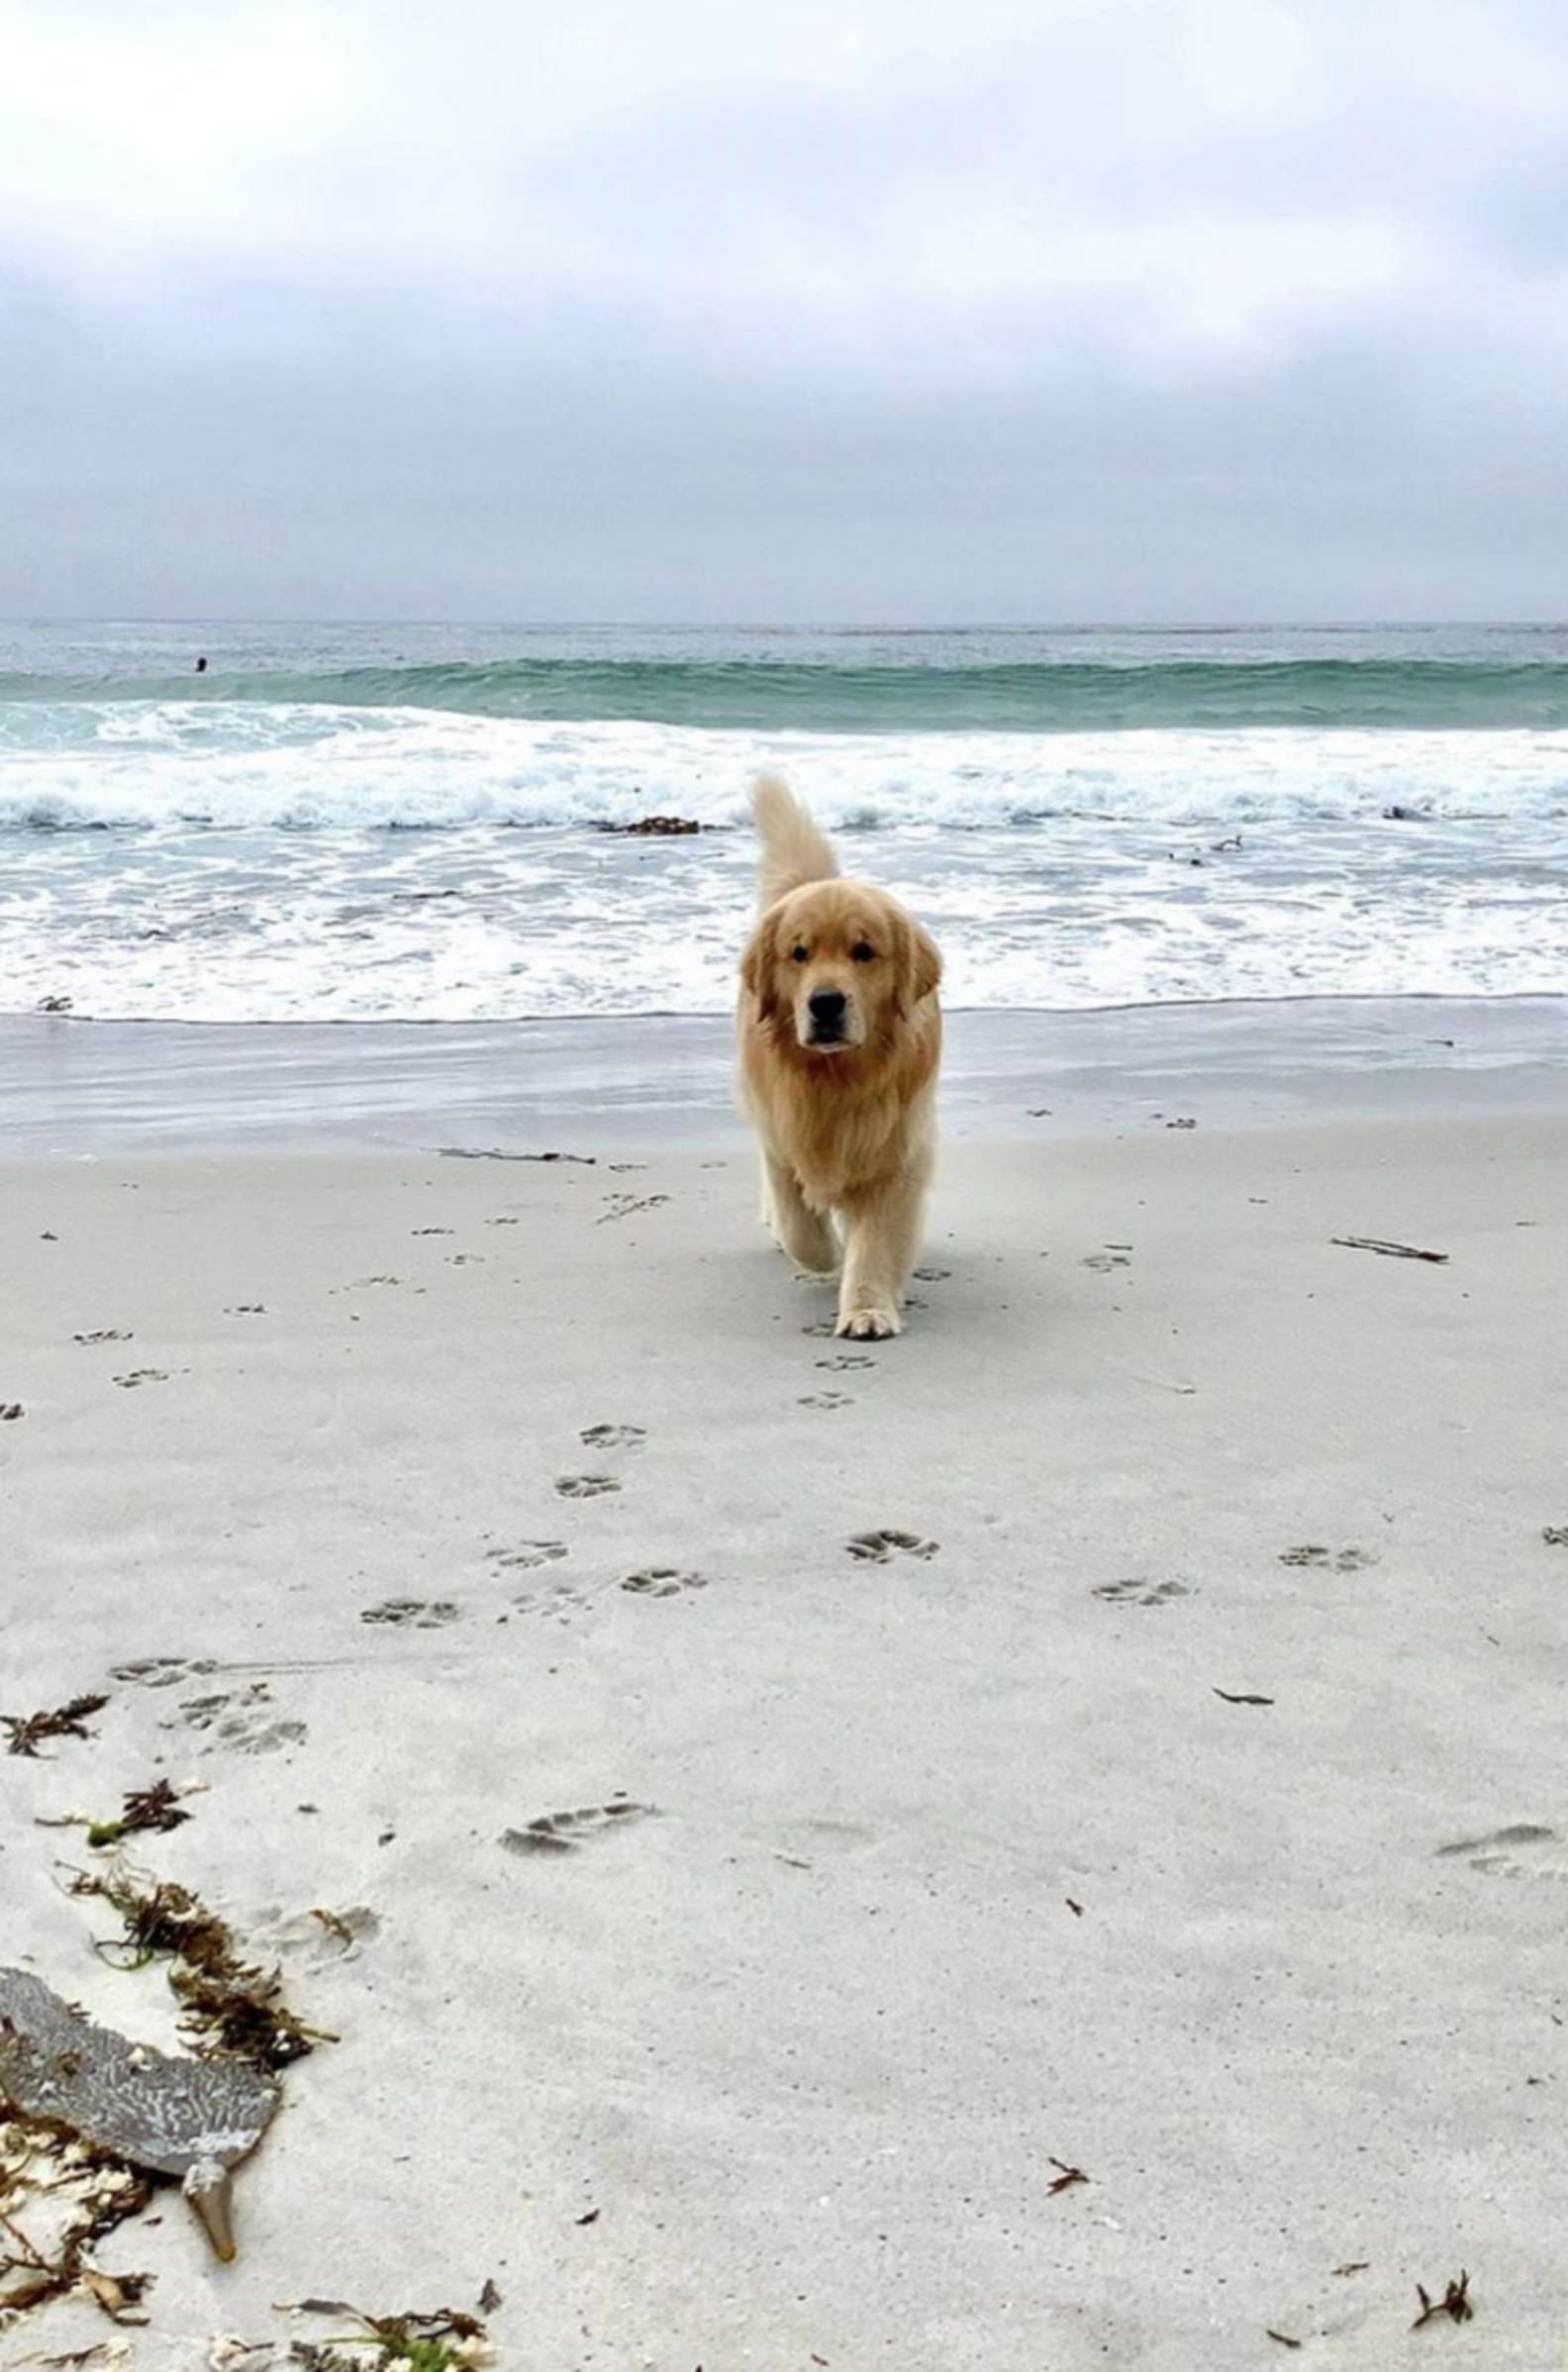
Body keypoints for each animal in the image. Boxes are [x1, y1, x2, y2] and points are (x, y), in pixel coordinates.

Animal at [735, 773, 943, 1337]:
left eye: (863, 951)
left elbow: (875, 1241)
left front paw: (868, 1309)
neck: (835, 1079)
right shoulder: (782, 1137)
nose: (825, 1003)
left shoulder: (895, 1154)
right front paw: (826, 1254)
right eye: (799, 953)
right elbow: (802, 1227)